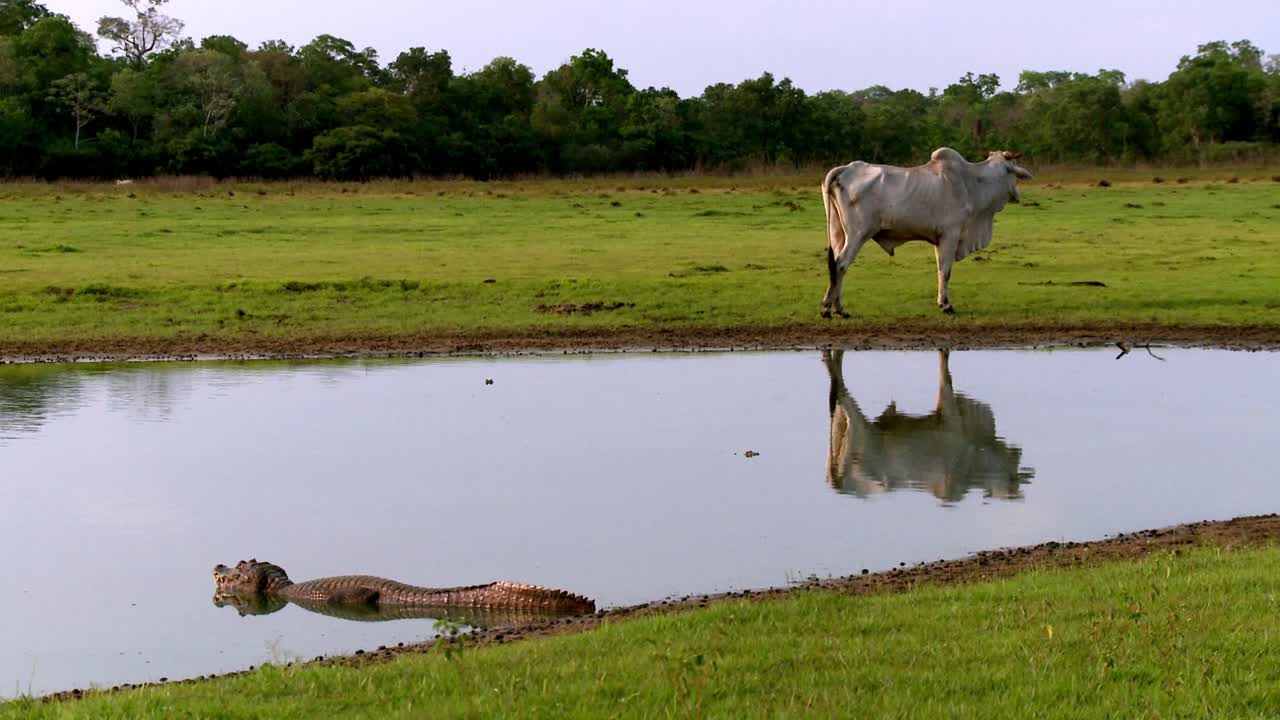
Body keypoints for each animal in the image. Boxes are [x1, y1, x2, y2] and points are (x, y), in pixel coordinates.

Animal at [820, 148, 1033, 317]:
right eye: (1013, 167)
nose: (1018, 195)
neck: (972, 183)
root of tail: (846, 168)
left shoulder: (939, 239)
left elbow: (940, 269)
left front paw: (941, 301)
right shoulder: (951, 234)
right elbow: (945, 270)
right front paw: (946, 305)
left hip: (839, 232)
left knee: (835, 264)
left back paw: (835, 307)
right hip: (858, 234)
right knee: (841, 264)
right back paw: (832, 309)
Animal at [824, 349, 1033, 503]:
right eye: (1012, 483)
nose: (1017, 452)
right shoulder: (949, 414)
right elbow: (945, 373)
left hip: (839, 428)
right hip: (859, 431)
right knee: (842, 393)